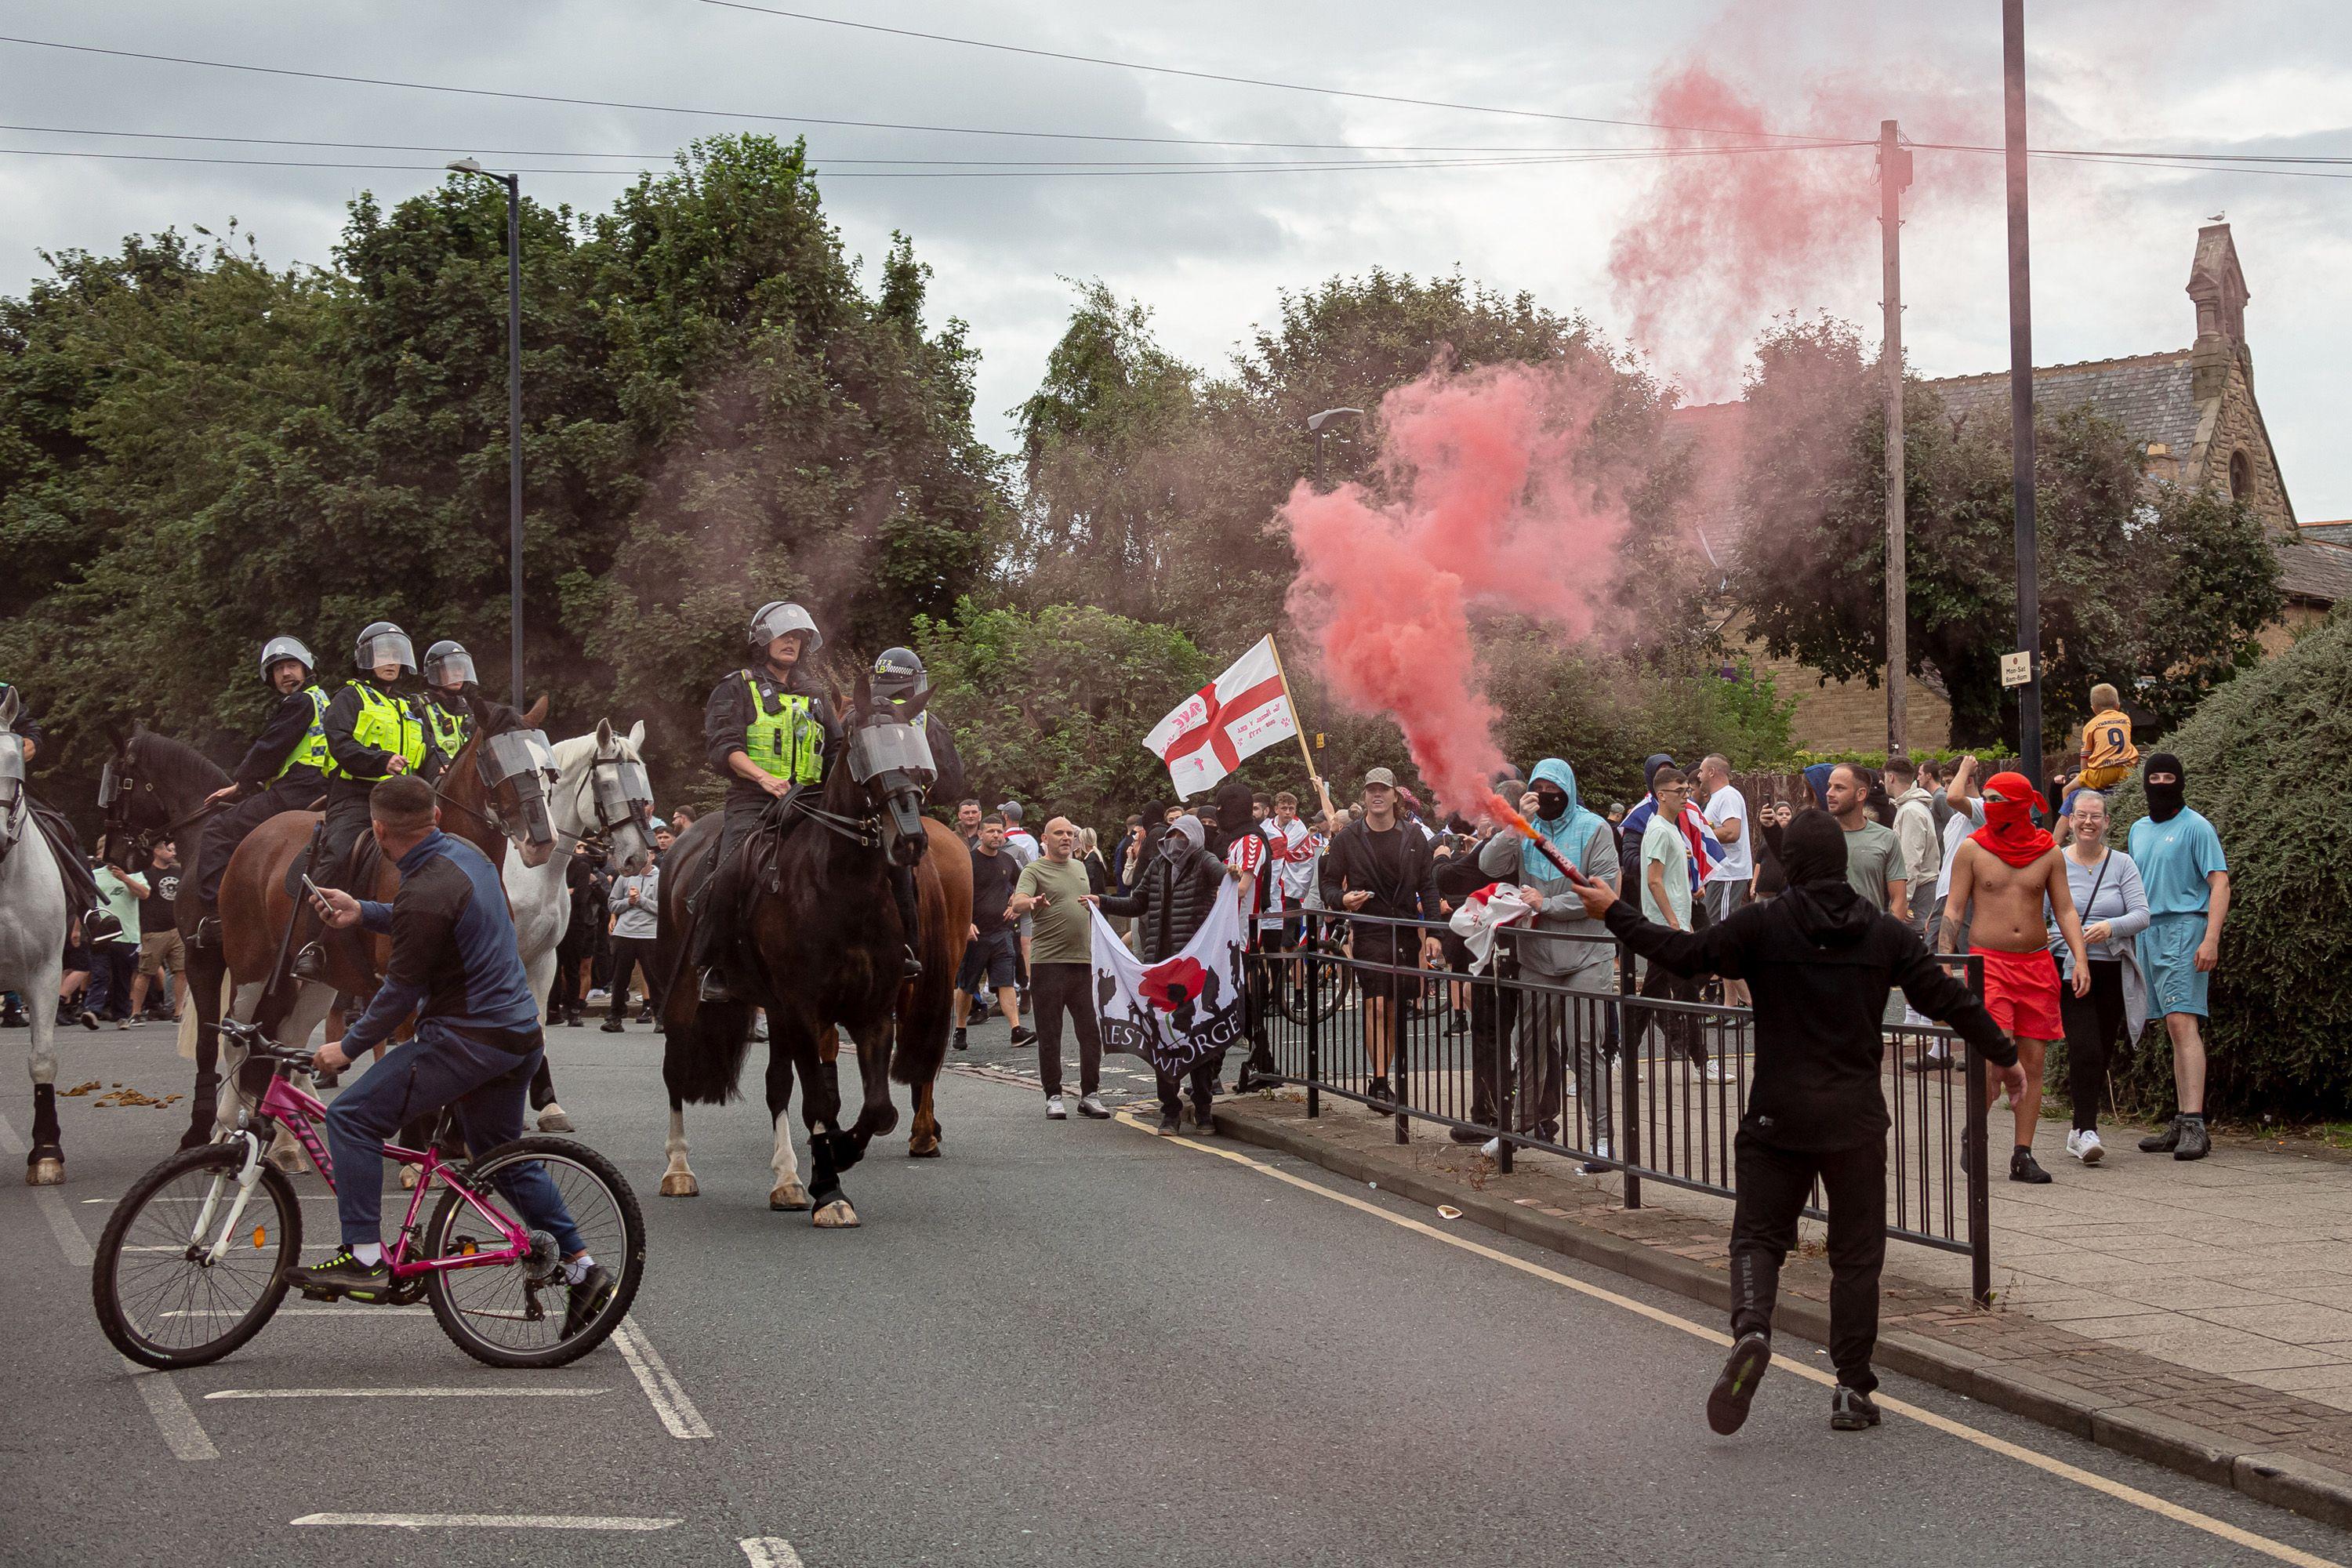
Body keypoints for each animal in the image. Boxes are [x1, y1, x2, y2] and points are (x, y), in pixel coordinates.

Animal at [506, 719, 654, 1133]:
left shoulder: (543, 959)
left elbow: (537, 1027)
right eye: (609, 784)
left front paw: (546, 1107)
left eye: (643, 780)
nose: (638, 857)